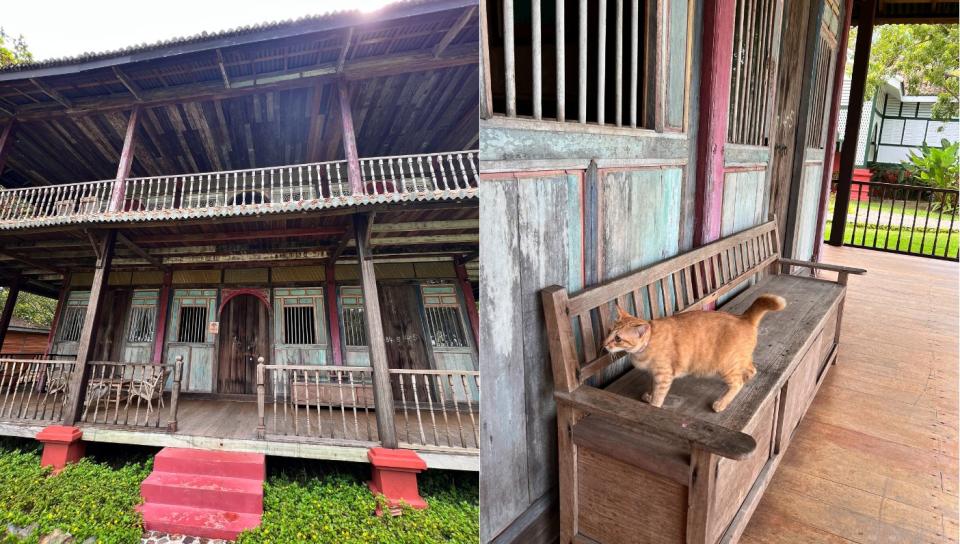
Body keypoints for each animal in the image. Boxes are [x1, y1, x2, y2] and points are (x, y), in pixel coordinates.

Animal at [600, 296, 788, 410]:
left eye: (618, 338)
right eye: (609, 332)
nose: (604, 344)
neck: (646, 345)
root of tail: (743, 317)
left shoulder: (664, 375)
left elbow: (659, 395)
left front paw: (653, 405)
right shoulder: (654, 375)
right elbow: (653, 387)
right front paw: (649, 395)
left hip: (726, 366)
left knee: (737, 383)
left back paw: (721, 403)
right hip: (740, 361)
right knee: (751, 370)